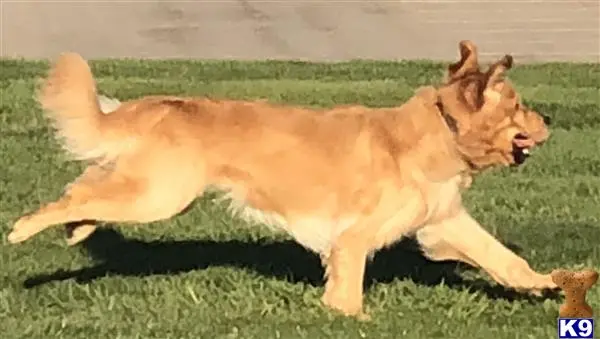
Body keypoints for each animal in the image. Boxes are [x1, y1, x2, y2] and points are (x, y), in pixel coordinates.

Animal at [7, 41, 556, 320]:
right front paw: (348, 319)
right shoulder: (354, 238)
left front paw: (546, 284)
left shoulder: (442, 222)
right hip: (160, 197)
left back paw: (76, 229)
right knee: (72, 196)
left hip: (152, 191)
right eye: (519, 106)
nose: (549, 117)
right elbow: (349, 293)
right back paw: (23, 229)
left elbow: (503, 258)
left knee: (85, 188)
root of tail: (164, 103)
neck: (437, 131)